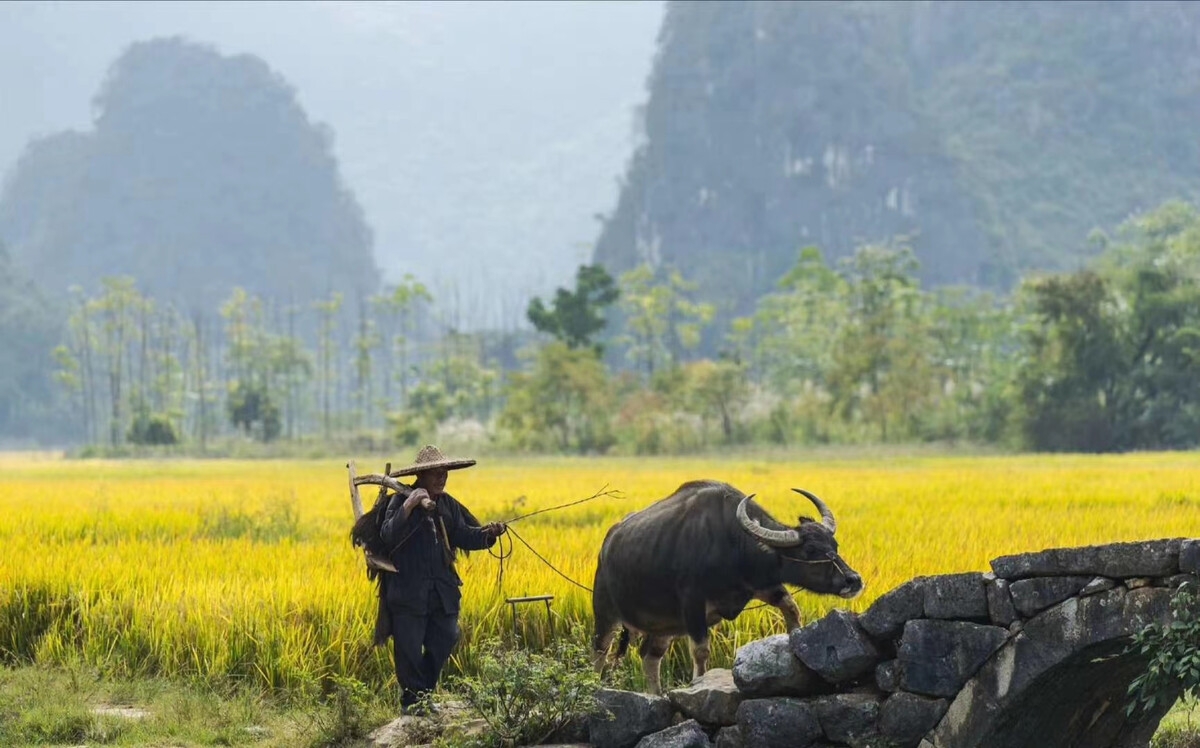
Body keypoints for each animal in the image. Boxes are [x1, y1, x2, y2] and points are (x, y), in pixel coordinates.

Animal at [590, 482, 864, 691]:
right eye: (810, 551)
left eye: (834, 545)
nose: (853, 580)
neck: (732, 543)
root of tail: (605, 548)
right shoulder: (693, 604)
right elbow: (701, 651)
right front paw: (699, 683)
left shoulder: (759, 585)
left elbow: (791, 608)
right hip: (606, 614)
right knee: (600, 652)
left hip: (664, 627)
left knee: (649, 656)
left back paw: (656, 695)